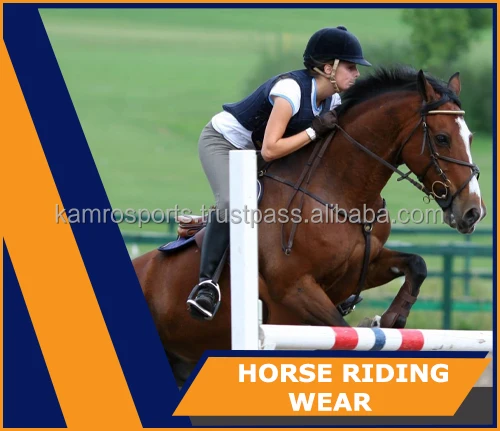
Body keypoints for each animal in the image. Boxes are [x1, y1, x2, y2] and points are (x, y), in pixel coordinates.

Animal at [133, 66, 486, 383]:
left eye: (470, 137)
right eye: (442, 138)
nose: (473, 212)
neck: (340, 191)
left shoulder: (362, 266)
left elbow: (418, 264)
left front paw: (391, 319)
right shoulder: (295, 289)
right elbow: (341, 330)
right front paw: (373, 325)